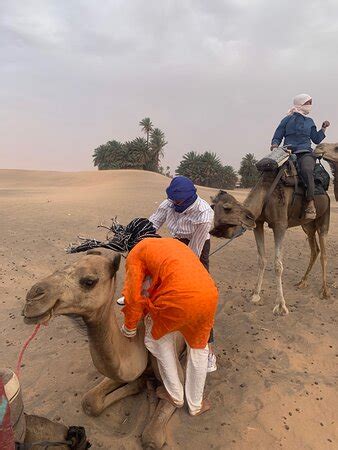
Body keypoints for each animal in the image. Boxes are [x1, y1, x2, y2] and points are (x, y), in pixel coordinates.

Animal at [23, 251, 185, 448]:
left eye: (89, 281)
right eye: (61, 267)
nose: (32, 297)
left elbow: (152, 438)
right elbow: (90, 401)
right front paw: (137, 384)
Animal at [210, 142, 336, 314]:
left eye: (227, 208)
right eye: (212, 207)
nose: (215, 231)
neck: (266, 192)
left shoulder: (280, 225)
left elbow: (278, 265)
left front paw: (281, 305)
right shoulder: (258, 224)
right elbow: (262, 259)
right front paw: (255, 295)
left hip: (324, 217)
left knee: (324, 252)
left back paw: (325, 291)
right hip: (307, 225)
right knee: (314, 249)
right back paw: (302, 282)